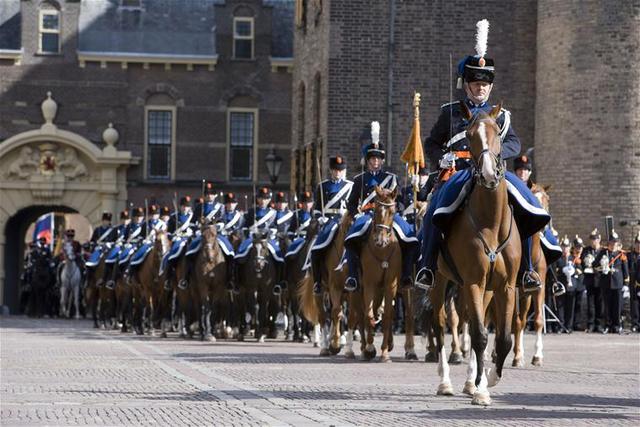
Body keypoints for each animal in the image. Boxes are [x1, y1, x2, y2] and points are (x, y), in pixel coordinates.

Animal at [432, 102, 524, 406]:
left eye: (498, 132)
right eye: (470, 135)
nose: (488, 174)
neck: (491, 221)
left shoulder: (505, 286)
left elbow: (501, 338)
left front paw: (488, 380)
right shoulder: (473, 281)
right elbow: (481, 335)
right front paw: (482, 390)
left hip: (481, 290)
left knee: (472, 325)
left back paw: (470, 381)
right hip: (439, 281)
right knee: (439, 324)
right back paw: (446, 382)